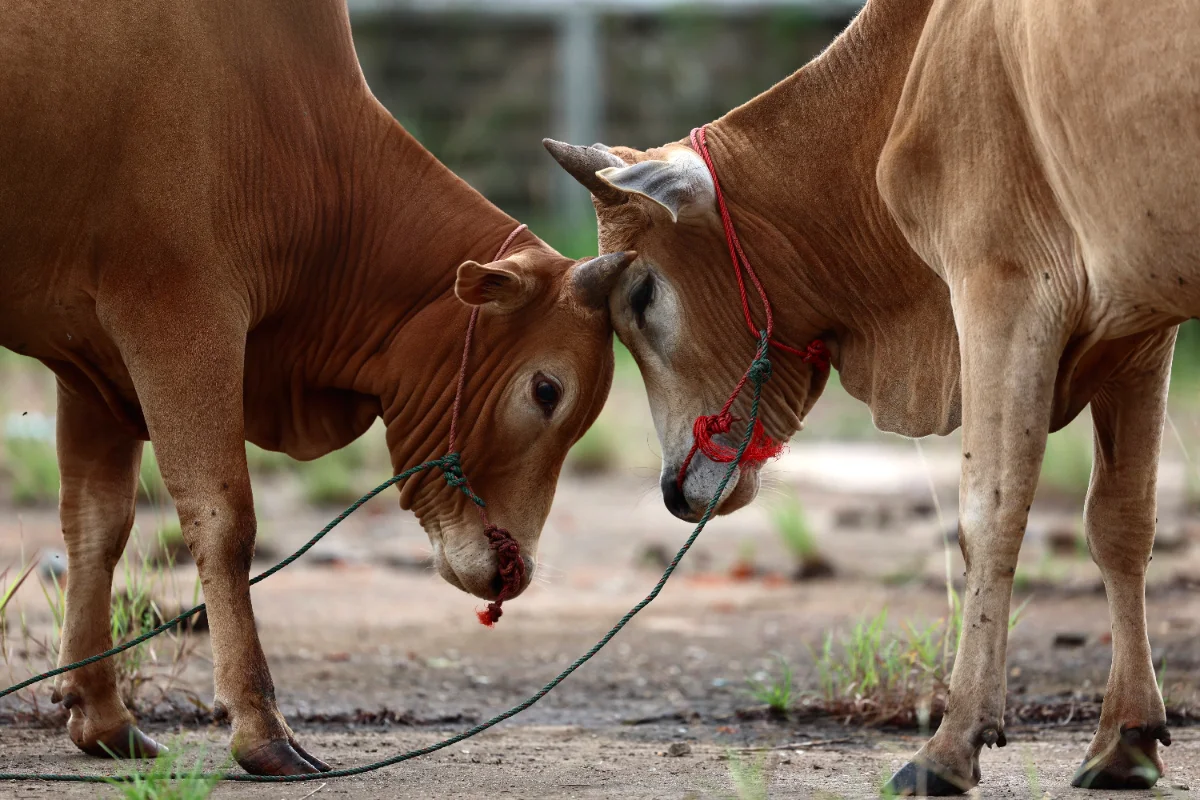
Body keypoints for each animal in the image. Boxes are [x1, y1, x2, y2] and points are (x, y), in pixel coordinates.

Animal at [0, 0, 636, 776]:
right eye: (547, 391)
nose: (514, 573)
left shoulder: (93, 364)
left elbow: (98, 524)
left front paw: (102, 716)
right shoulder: (177, 317)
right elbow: (224, 521)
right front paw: (261, 728)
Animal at [546, 0, 1198, 793]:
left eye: (640, 297)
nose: (674, 489)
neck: (908, 70)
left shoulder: (1002, 286)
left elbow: (989, 514)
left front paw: (950, 747)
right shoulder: (1139, 325)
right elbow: (1120, 523)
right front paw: (1126, 739)